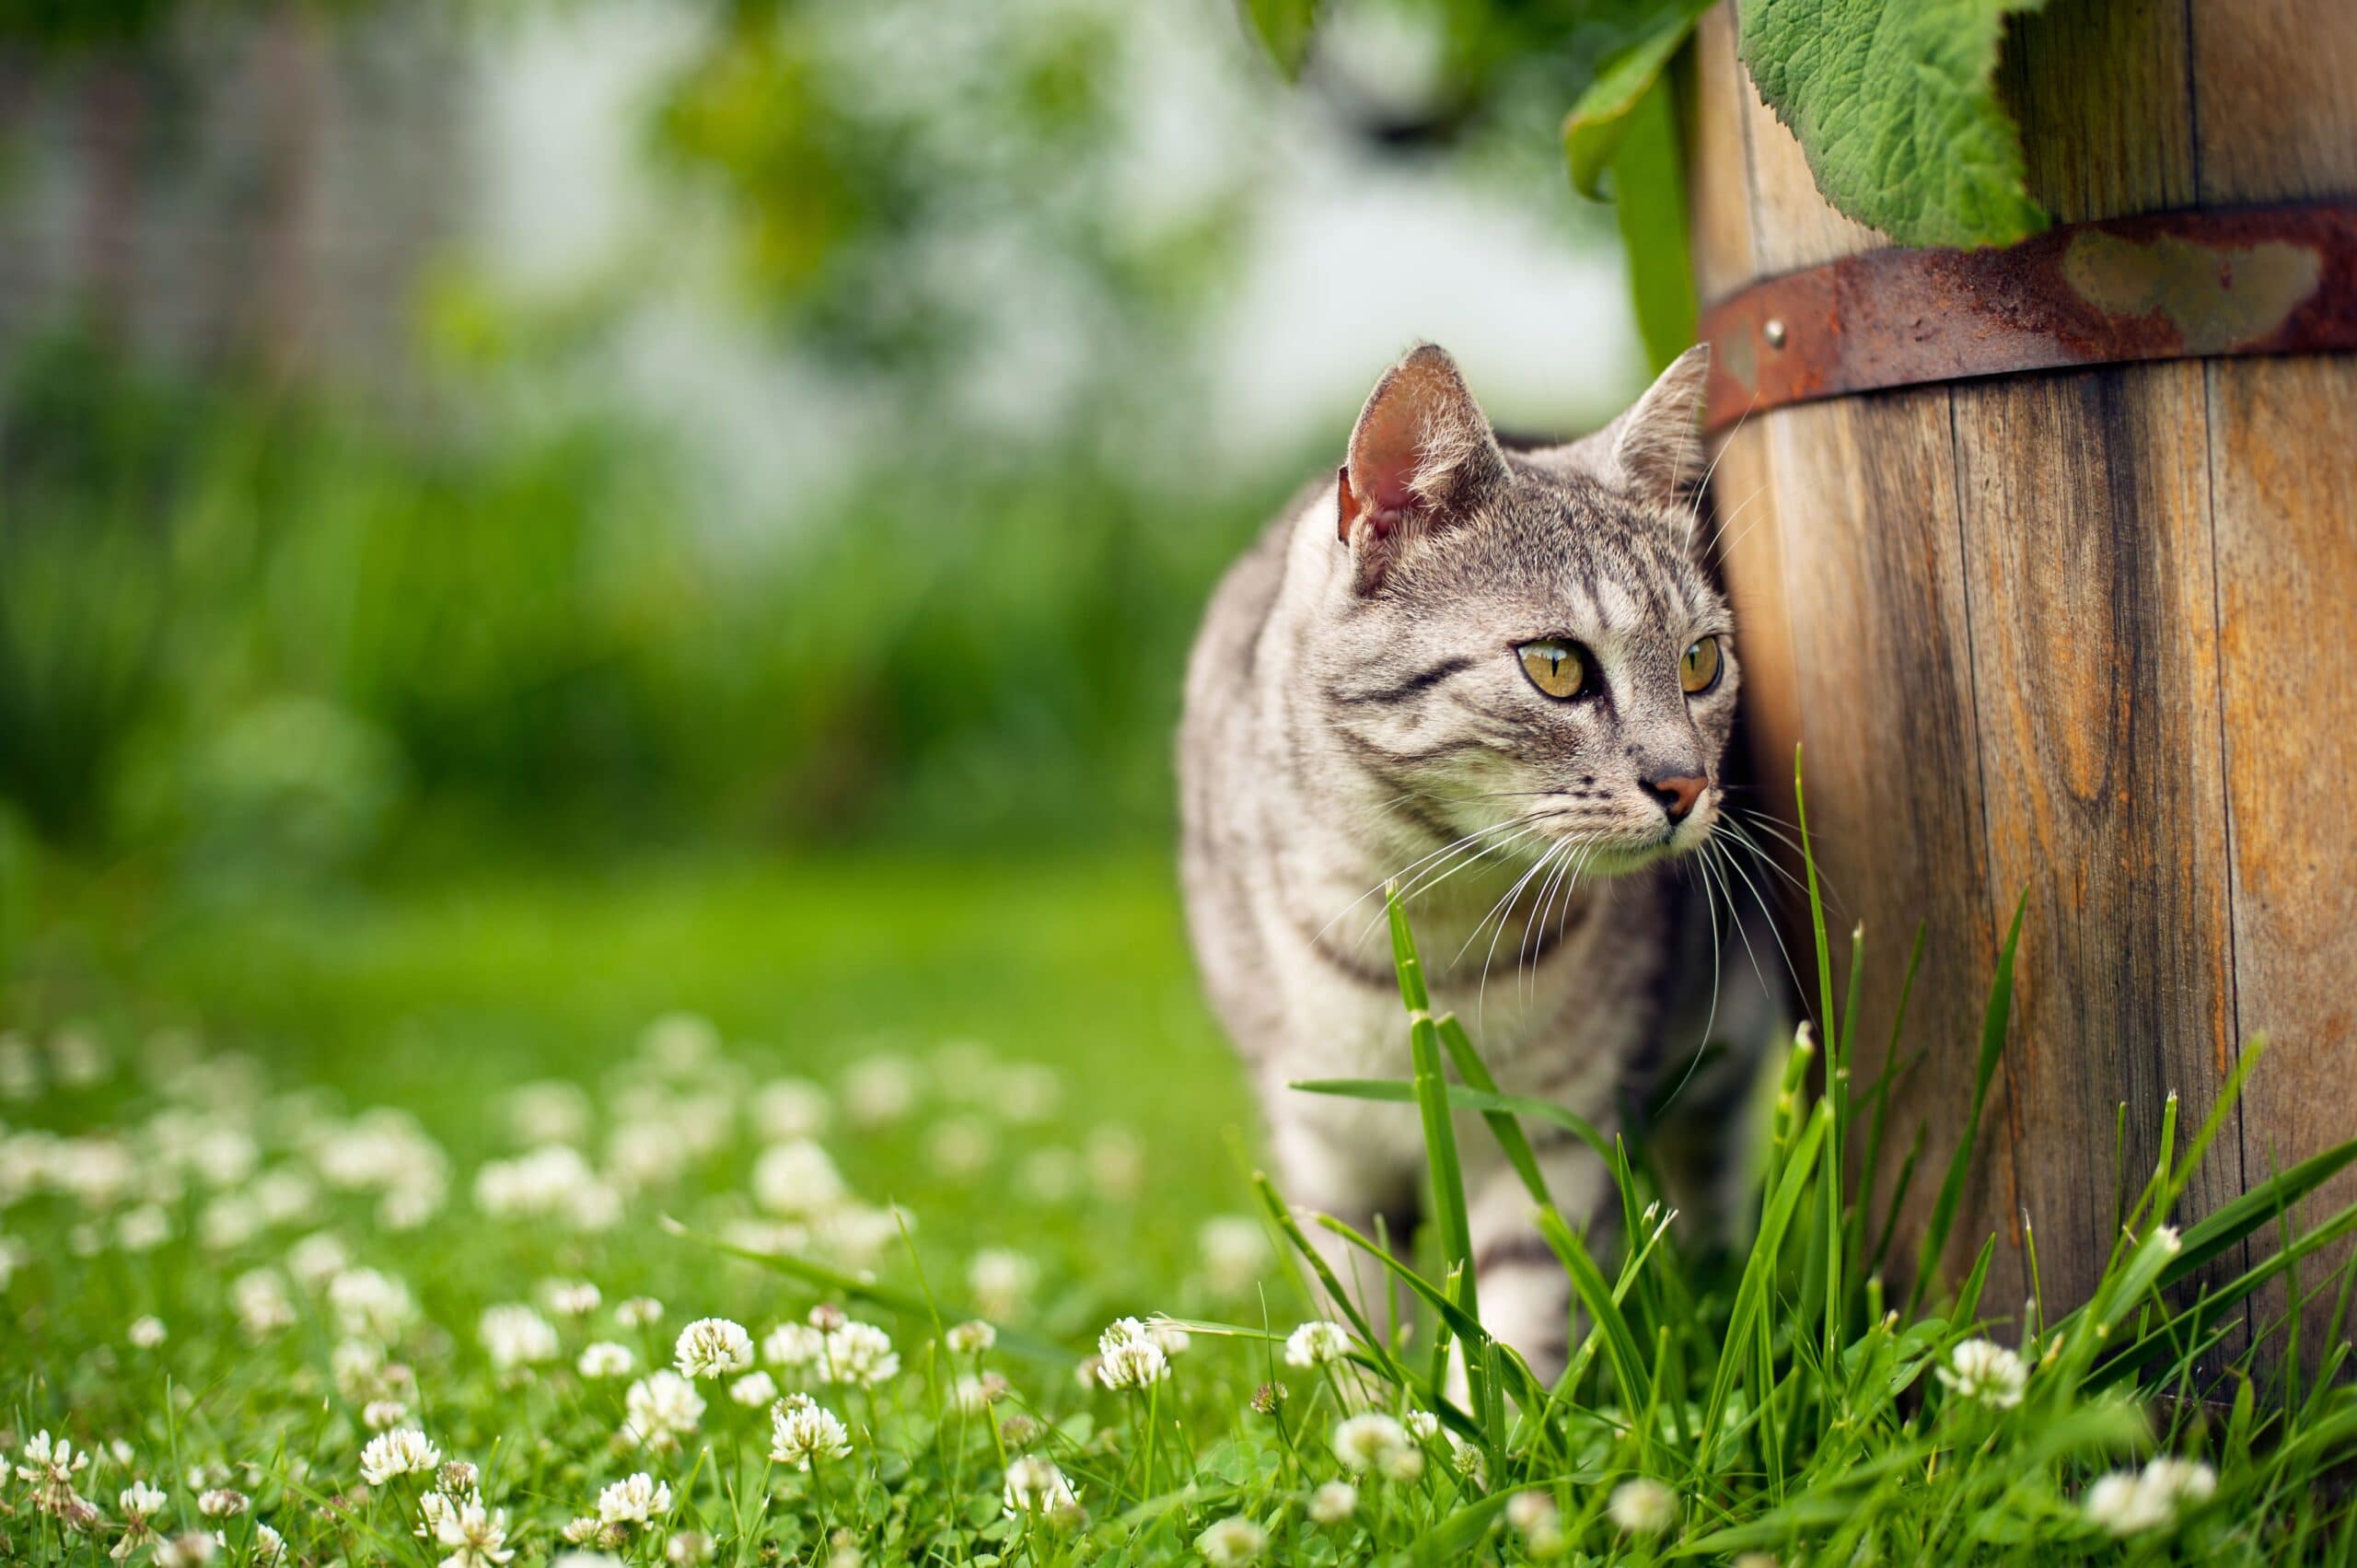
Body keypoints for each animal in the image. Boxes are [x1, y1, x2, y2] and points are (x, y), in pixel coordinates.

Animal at [1178, 339, 1772, 1367]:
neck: (1429, 917)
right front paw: (1379, 1408)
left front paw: (1488, 1408)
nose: (1687, 783)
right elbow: (1353, 1322)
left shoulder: (1558, 1128)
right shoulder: (1323, 1144)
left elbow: (1517, 1311)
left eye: (1701, 661)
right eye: (1558, 666)